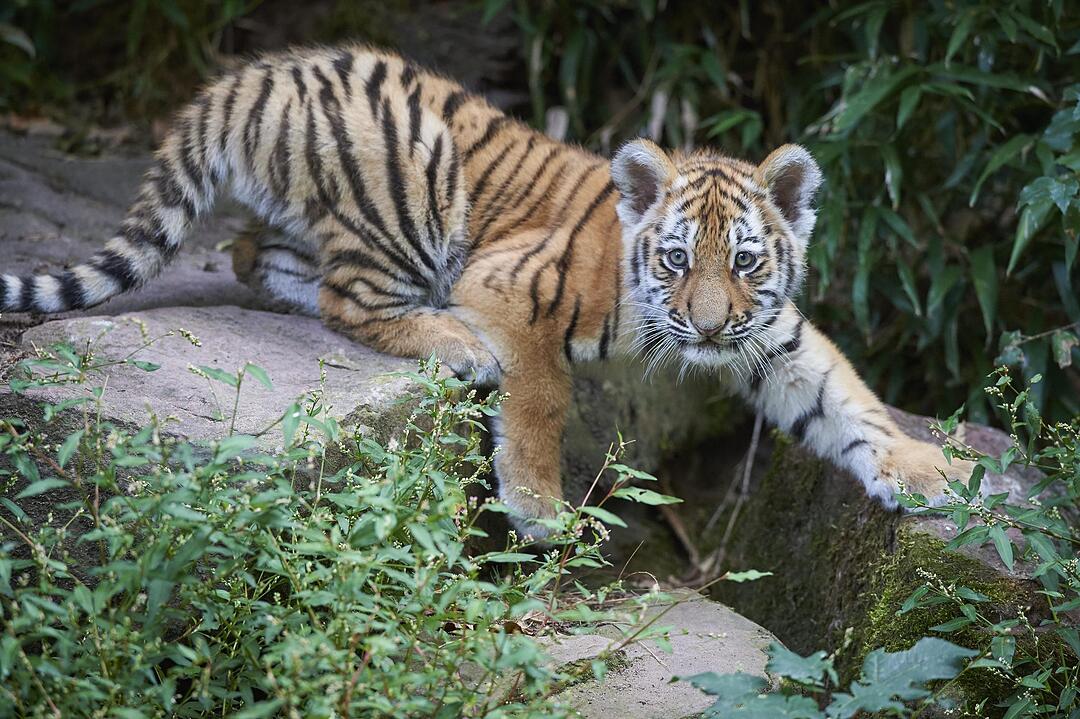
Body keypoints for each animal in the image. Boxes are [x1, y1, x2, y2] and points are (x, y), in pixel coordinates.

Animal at [0, 44, 972, 535]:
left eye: (744, 261)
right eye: (671, 260)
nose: (701, 327)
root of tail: (246, 78)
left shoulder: (770, 336)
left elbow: (847, 397)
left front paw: (927, 471)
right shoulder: (514, 289)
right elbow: (539, 398)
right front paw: (539, 510)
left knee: (253, 255)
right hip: (410, 187)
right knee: (349, 297)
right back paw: (455, 341)